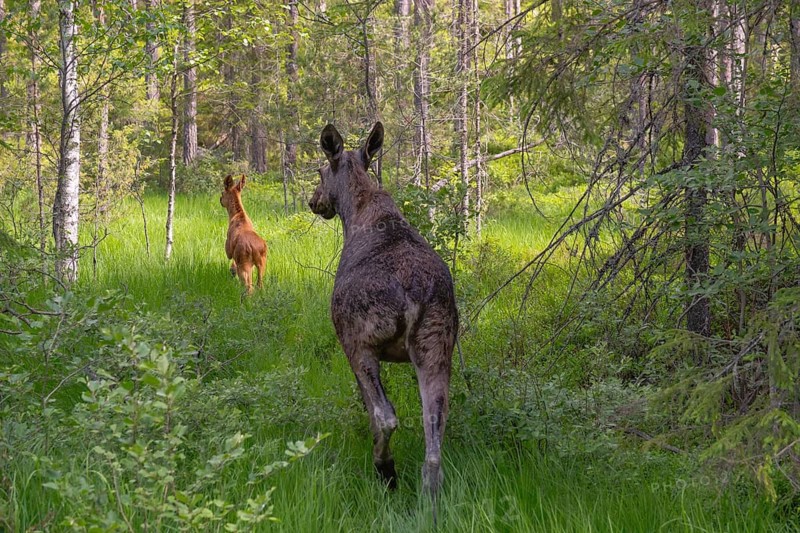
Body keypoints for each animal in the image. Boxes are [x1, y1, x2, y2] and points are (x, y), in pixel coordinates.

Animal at [308, 122, 458, 507]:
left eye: (320, 172)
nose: (314, 201)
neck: (354, 212)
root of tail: (414, 295)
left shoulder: (350, 344)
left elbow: (370, 411)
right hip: (437, 350)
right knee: (434, 434)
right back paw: (429, 500)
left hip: (360, 344)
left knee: (387, 417)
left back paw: (385, 470)